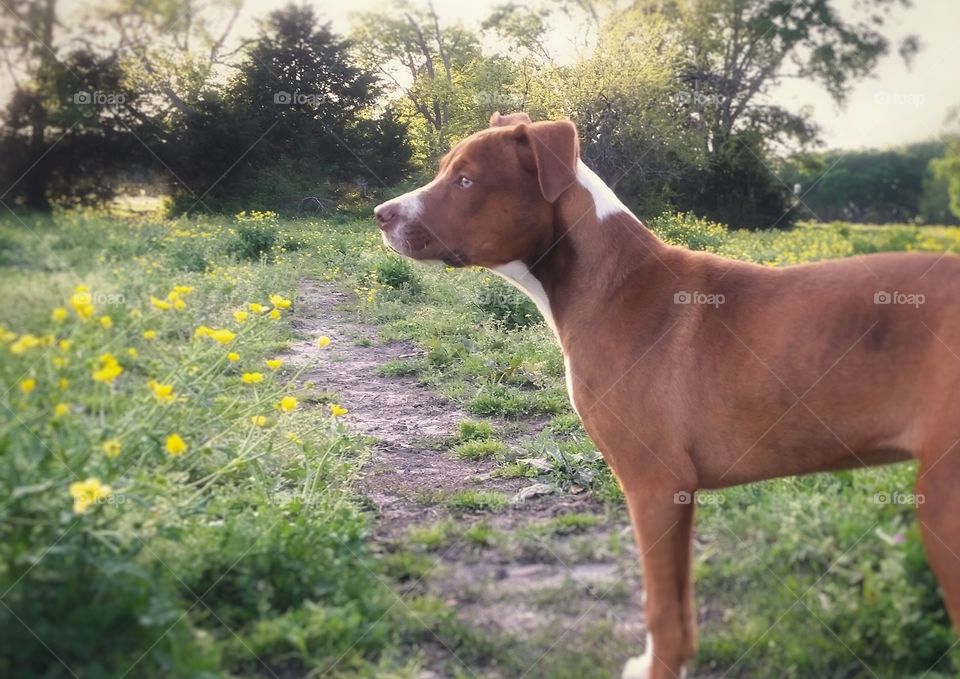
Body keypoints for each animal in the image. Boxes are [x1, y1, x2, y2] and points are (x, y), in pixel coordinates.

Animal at [370, 114, 960, 676]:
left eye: (466, 180)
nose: (381, 213)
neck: (607, 285)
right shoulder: (679, 494)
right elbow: (679, 606)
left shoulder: (652, 483)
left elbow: (658, 609)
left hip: (942, 508)